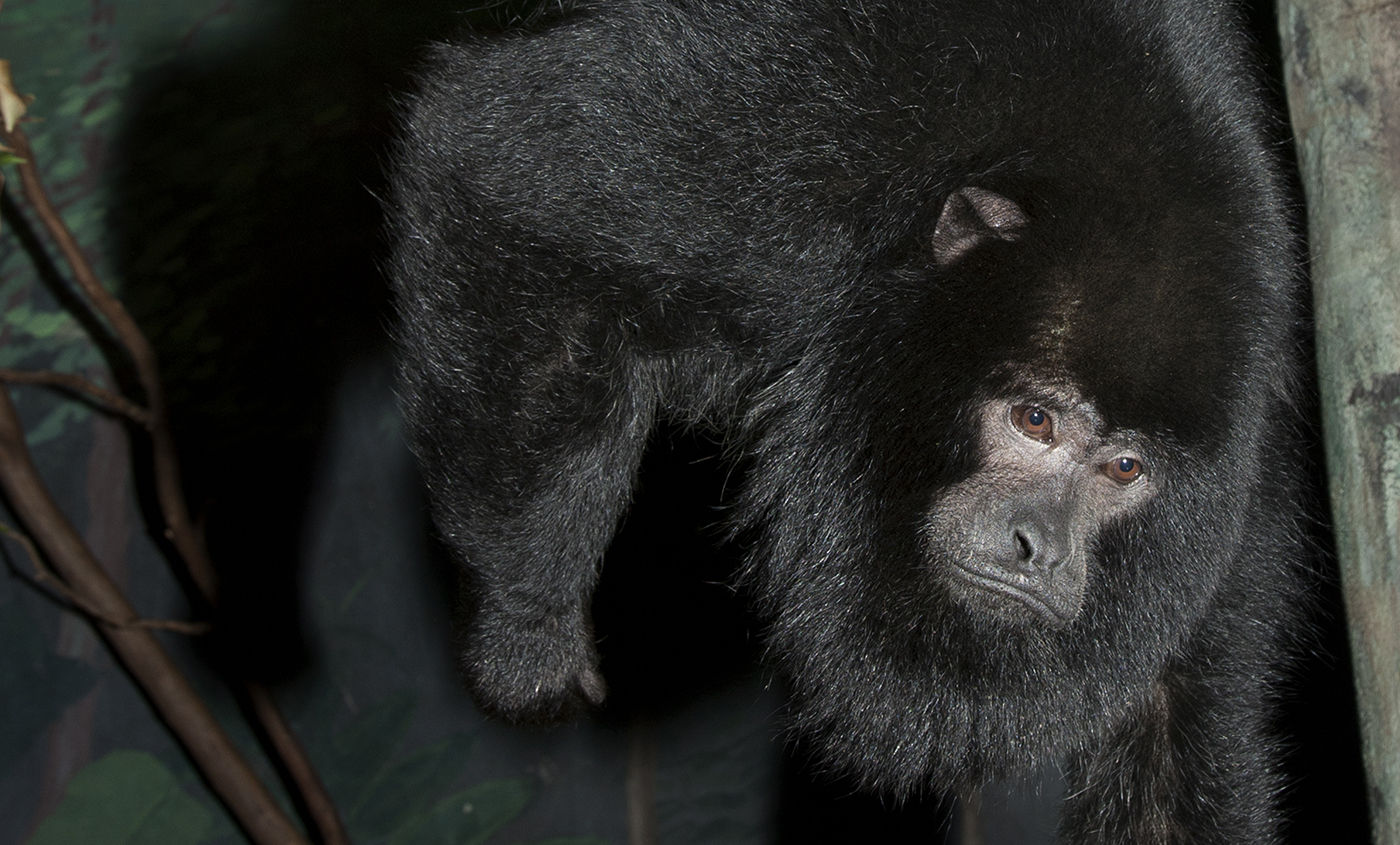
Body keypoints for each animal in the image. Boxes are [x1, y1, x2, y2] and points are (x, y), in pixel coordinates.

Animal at [380, 3, 1299, 839]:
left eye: (1124, 468)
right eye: (1035, 418)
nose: (1039, 544)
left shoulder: (1243, 487)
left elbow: (1172, 742)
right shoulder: (806, 130)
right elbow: (504, 175)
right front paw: (524, 629)